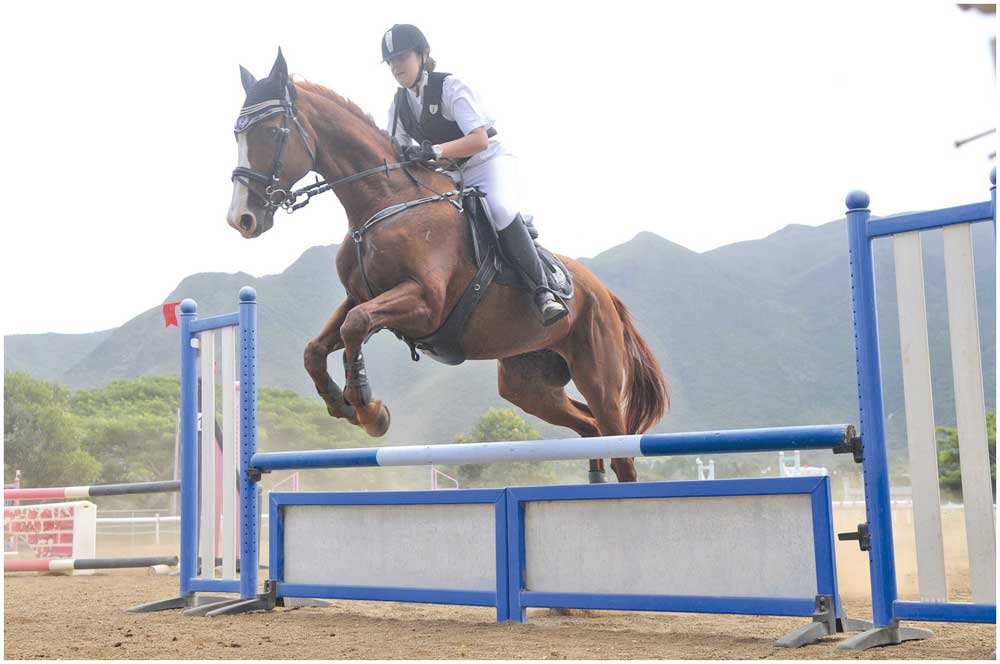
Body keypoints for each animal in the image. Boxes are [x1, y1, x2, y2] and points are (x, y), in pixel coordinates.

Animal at [226, 49, 664, 480]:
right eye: (237, 134)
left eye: (273, 132)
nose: (241, 220)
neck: (383, 201)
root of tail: (606, 295)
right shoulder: (360, 296)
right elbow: (316, 348)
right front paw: (342, 403)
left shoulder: (425, 303)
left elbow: (355, 327)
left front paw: (368, 409)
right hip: (529, 385)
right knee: (589, 426)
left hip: (599, 374)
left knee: (619, 446)